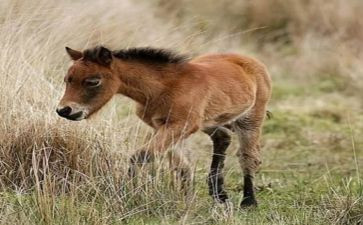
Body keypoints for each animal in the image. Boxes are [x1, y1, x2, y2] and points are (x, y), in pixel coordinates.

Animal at [57, 45, 272, 207]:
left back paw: (248, 201)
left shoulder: (179, 126)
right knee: (223, 137)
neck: (164, 87)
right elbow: (181, 166)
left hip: (250, 119)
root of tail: (250, 61)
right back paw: (219, 195)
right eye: (67, 79)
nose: (64, 110)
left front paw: (125, 193)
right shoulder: (164, 127)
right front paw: (186, 201)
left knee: (248, 157)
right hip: (209, 121)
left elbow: (141, 156)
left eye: (93, 81)